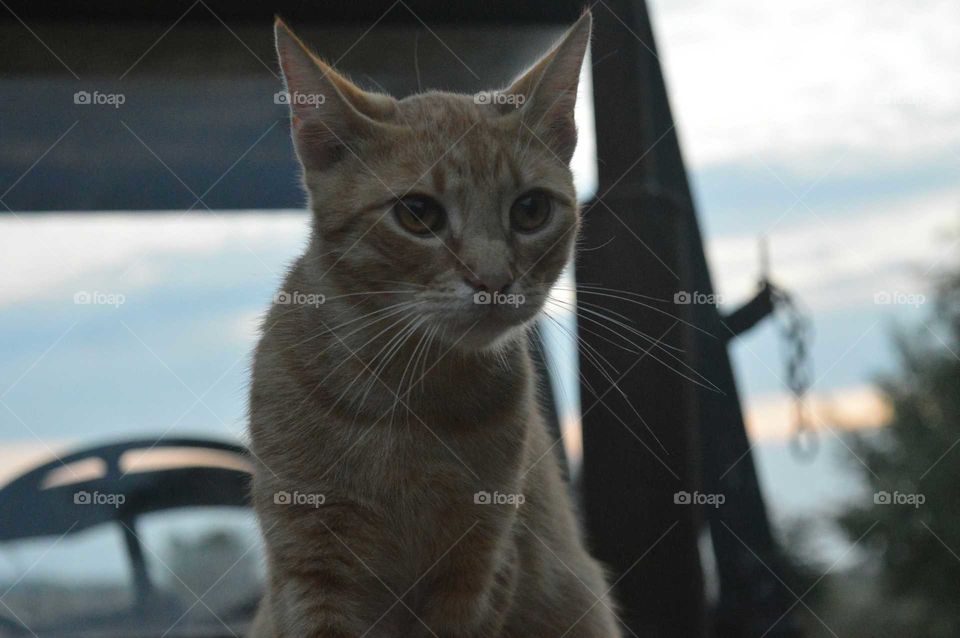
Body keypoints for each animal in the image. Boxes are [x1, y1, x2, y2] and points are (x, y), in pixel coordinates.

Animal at [251, 11, 620, 638]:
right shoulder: (310, 566)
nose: (493, 280)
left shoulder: (480, 568)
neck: (405, 402)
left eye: (530, 211)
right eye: (417, 214)